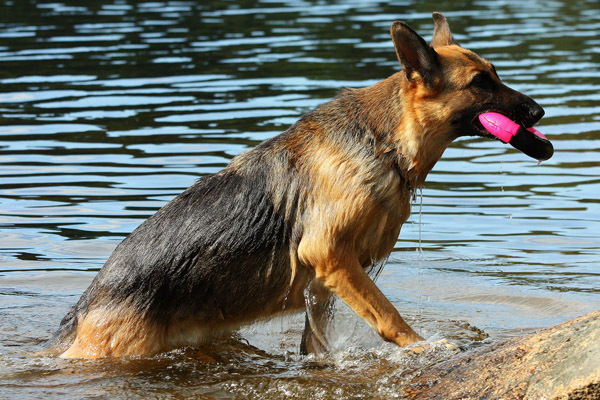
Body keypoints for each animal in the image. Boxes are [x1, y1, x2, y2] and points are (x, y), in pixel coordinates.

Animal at [48, 12, 552, 358]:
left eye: (495, 73)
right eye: (481, 83)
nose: (539, 112)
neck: (386, 141)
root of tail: (83, 309)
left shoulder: (328, 278)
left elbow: (318, 341)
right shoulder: (331, 255)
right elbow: (386, 313)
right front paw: (421, 345)